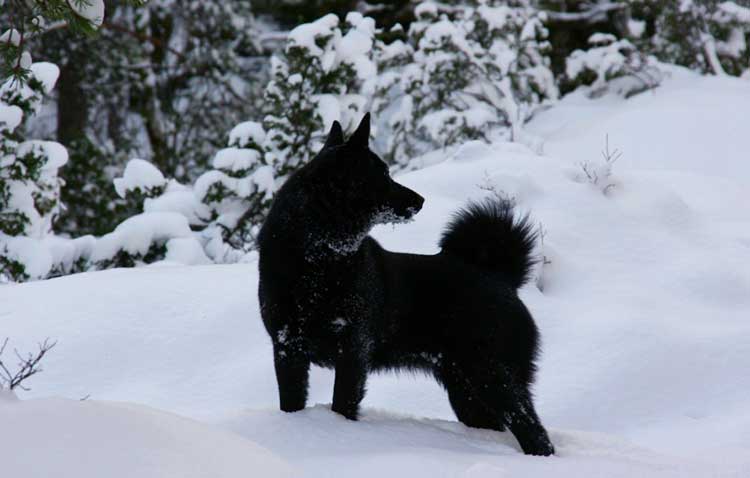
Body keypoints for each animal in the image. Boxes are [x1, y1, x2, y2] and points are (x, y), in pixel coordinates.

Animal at [262, 113, 556, 456]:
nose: (421, 199)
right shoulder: (287, 347)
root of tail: (502, 278)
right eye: (383, 174)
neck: (317, 259)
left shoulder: (352, 350)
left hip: (493, 375)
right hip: (466, 390)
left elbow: (342, 405)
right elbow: (291, 402)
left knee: (535, 430)